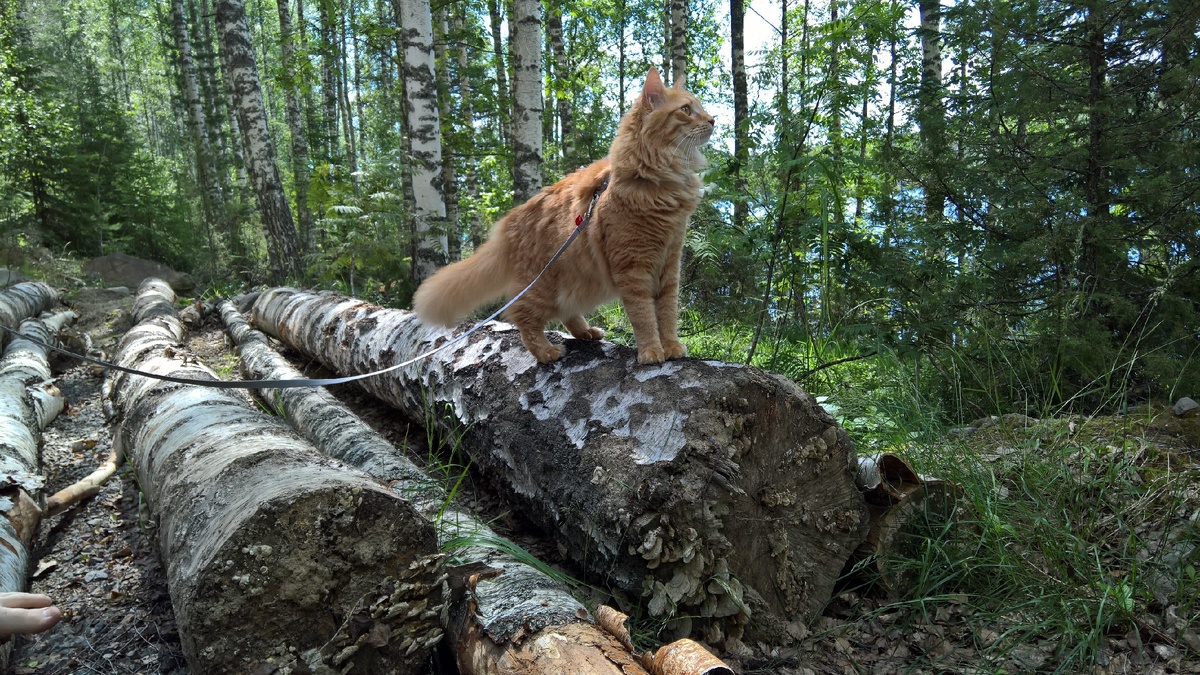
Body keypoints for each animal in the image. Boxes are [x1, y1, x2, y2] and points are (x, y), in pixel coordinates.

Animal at [412, 67, 710, 362]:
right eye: (686, 110)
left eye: (701, 108)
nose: (713, 120)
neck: (662, 180)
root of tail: (508, 223)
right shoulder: (633, 266)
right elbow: (644, 315)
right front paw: (651, 351)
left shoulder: (670, 262)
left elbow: (667, 312)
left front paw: (671, 346)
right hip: (543, 284)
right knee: (522, 314)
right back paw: (546, 351)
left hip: (573, 280)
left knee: (564, 311)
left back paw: (586, 332)